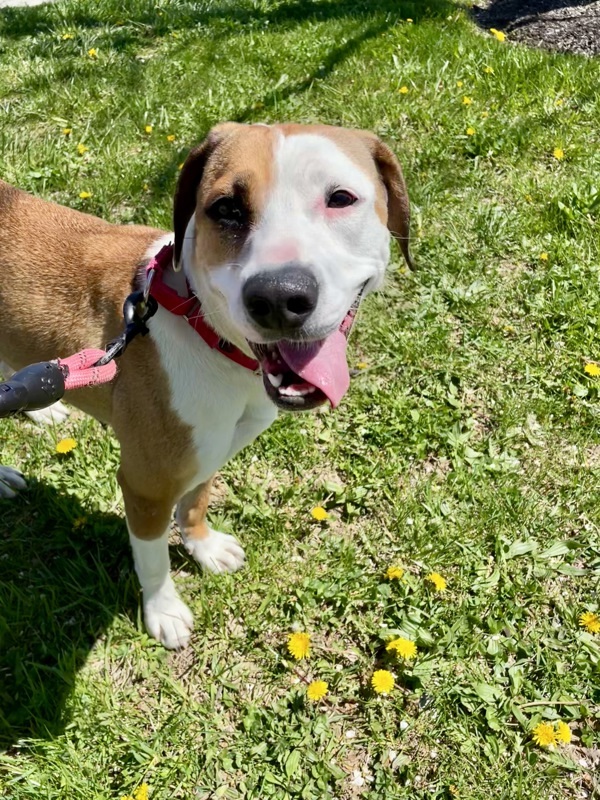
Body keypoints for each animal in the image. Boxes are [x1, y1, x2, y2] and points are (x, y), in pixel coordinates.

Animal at [0, 123, 410, 648]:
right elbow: (153, 558)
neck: (207, 329)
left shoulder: (213, 450)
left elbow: (194, 503)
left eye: (340, 198)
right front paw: (162, 609)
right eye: (226, 208)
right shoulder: (146, 485)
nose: (279, 297)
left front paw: (204, 546)